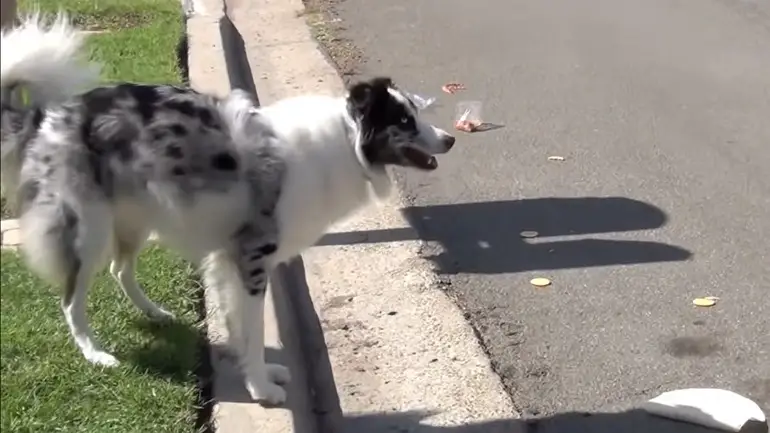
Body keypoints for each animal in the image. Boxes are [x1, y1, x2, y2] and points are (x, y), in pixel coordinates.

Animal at [0, 14, 452, 404]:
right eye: (404, 122)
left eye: (415, 114)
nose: (449, 139)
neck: (345, 138)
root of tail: (47, 117)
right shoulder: (251, 259)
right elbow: (251, 330)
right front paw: (262, 388)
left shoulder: (228, 260)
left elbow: (240, 329)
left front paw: (257, 374)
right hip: (89, 230)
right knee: (71, 300)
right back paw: (95, 353)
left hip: (135, 219)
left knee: (119, 269)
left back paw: (155, 313)